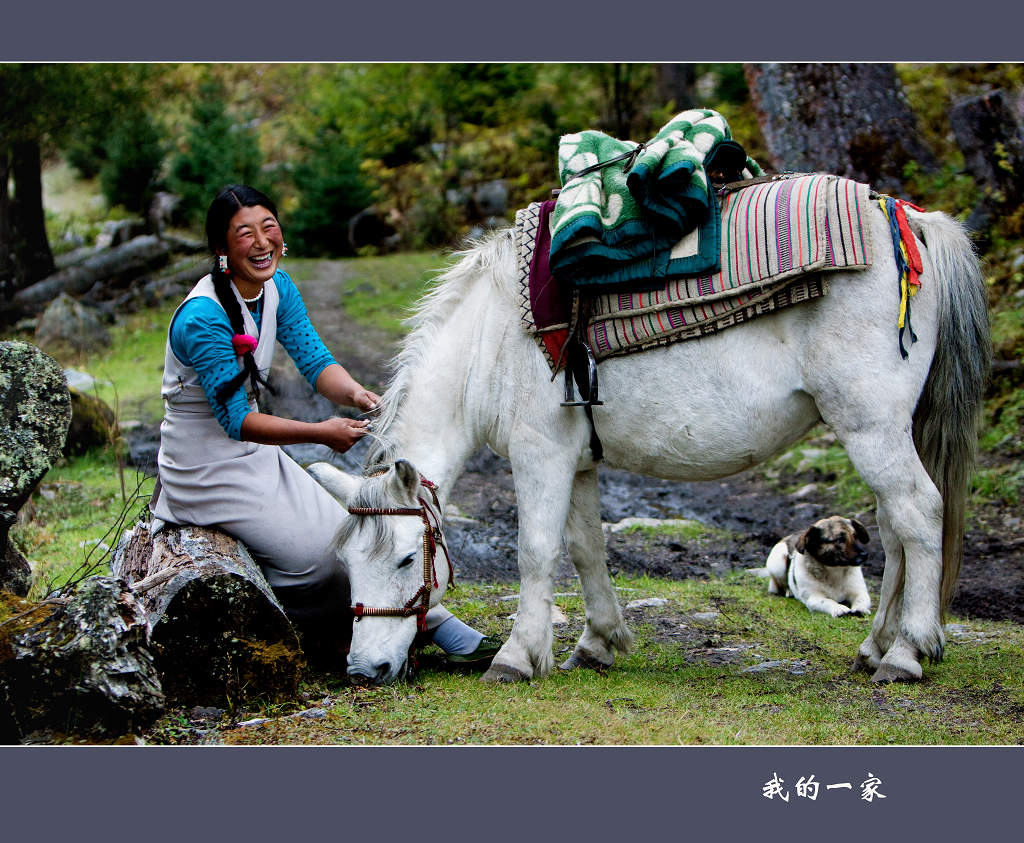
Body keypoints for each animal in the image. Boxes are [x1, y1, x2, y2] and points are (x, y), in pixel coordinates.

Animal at [307, 197, 987, 684]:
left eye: (404, 558)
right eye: (348, 564)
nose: (365, 669)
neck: (492, 342)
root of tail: (911, 222)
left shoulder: (540, 456)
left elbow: (535, 551)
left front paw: (519, 656)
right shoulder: (575, 461)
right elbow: (585, 548)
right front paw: (597, 643)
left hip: (870, 427)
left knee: (918, 515)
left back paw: (906, 653)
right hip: (884, 433)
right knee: (895, 532)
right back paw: (875, 647)